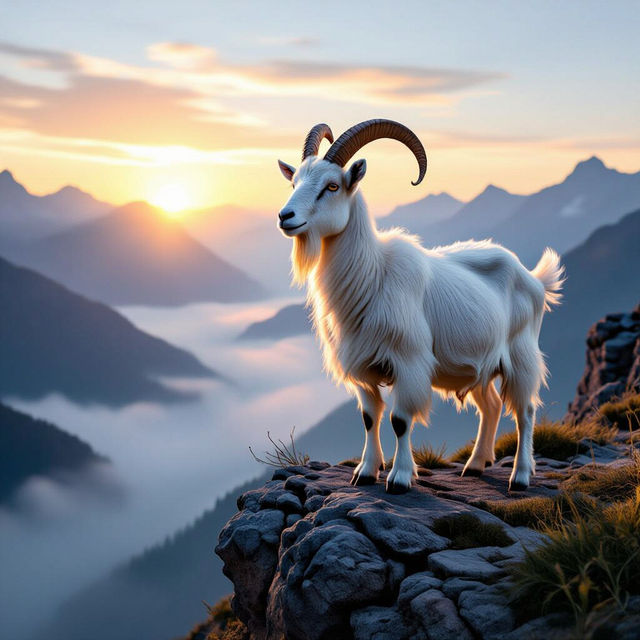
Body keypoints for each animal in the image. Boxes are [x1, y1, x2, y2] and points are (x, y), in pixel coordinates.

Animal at [277, 120, 564, 493]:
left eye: (332, 185)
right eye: (294, 182)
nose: (285, 216)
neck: (374, 275)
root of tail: (533, 279)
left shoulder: (409, 363)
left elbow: (400, 420)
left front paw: (399, 478)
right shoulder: (362, 368)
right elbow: (369, 417)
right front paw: (365, 472)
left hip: (522, 357)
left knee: (525, 412)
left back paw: (521, 476)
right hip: (483, 365)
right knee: (491, 406)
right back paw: (475, 465)